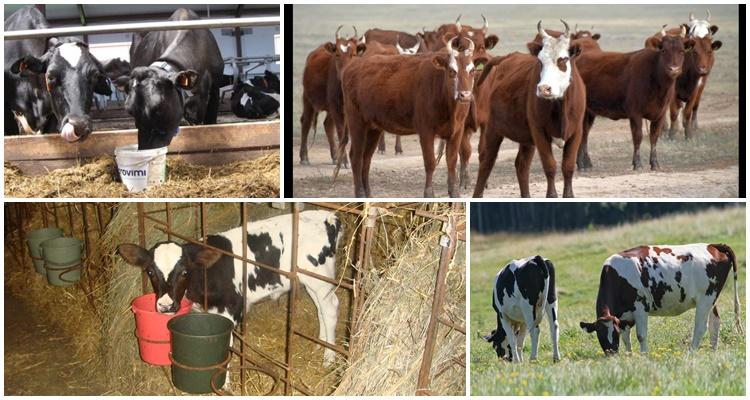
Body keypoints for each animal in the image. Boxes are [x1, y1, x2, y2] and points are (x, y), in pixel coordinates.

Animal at [117, 210, 342, 367]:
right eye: (150, 272)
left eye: (184, 272)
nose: (165, 306)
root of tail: (328, 217)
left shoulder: (232, 307)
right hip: (313, 282)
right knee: (321, 309)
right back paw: (321, 344)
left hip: (320, 279)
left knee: (331, 309)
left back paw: (329, 357)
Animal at [339, 36, 488, 197]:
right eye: (452, 71)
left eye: (472, 70)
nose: (465, 95)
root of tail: (353, 66)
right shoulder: (426, 131)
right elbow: (430, 162)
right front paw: (428, 193)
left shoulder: (457, 131)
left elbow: (452, 161)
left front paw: (454, 193)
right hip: (356, 122)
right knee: (356, 157)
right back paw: (360, 193)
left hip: (373, 128)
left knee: (366, 159)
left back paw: (369, 194)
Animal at [472, 21, 586, 198]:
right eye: (540, 61)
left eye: (563, 59)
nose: (544, 88)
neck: (560, 106)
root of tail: (507, 57)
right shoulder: (539, 132)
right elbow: (550, 166)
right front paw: (551, 195)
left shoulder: (576, 132)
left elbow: (568, 167)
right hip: (493, 129)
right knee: (486, 162)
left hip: (525, 138)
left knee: (521, 165)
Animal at [574, 26, 694, 171]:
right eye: (664, 50)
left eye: (681, 51)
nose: (674, 69)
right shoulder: (635, 113)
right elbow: (638, 136)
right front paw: (637, 163)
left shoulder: (660, 113)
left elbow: (654, 137)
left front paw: (655, 163)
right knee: (582, 135)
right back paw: (582, 164)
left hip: (589, 112)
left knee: (584, 134)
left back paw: (585, 164)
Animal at [580, 244, 742, 355]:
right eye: (600, 335)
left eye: (614, 334)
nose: (612, 354)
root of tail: (713, 245)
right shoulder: (624, 317)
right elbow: (627, 338)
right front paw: (629, 356)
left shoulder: (640, 307)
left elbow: (641, 335)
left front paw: (644, 356)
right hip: (712, 298)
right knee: (715, 322)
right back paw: (712, 350)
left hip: (705, 299)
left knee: (701, 327)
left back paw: (691, 352)